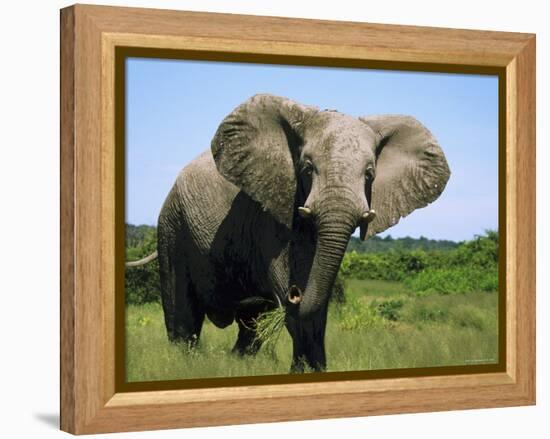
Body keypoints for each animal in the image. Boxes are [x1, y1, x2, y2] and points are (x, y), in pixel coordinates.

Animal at [127, 93, 450, 374]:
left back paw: (238, 362)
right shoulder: (270, 213)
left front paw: (316, 371)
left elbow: (319, 304)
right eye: (307, 168)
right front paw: (303, 370)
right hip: (172, 225)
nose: (296, 292)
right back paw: (185, 365)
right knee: (182, 312)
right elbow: (288, 289)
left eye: (370, 174)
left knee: (250, 325)